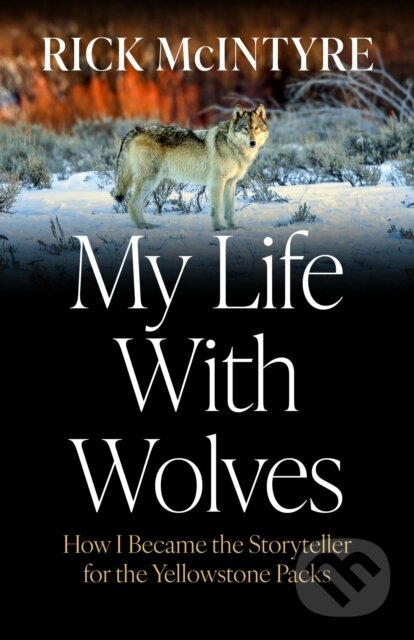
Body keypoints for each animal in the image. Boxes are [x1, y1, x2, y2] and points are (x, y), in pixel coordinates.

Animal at [114, 104, 269, 230]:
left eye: (256, 128)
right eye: (245, 129)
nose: (253, 143)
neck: (232, 145)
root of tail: (135, 130)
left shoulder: (231, 183)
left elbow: (230, 209)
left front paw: (232, 227)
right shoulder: (217, 182)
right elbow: (217, 208)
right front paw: (219, 228)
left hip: (152, 184)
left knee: (138, 205)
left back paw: (145, 224)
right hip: (149, 181)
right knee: (132, 203)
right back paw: (142, 226)